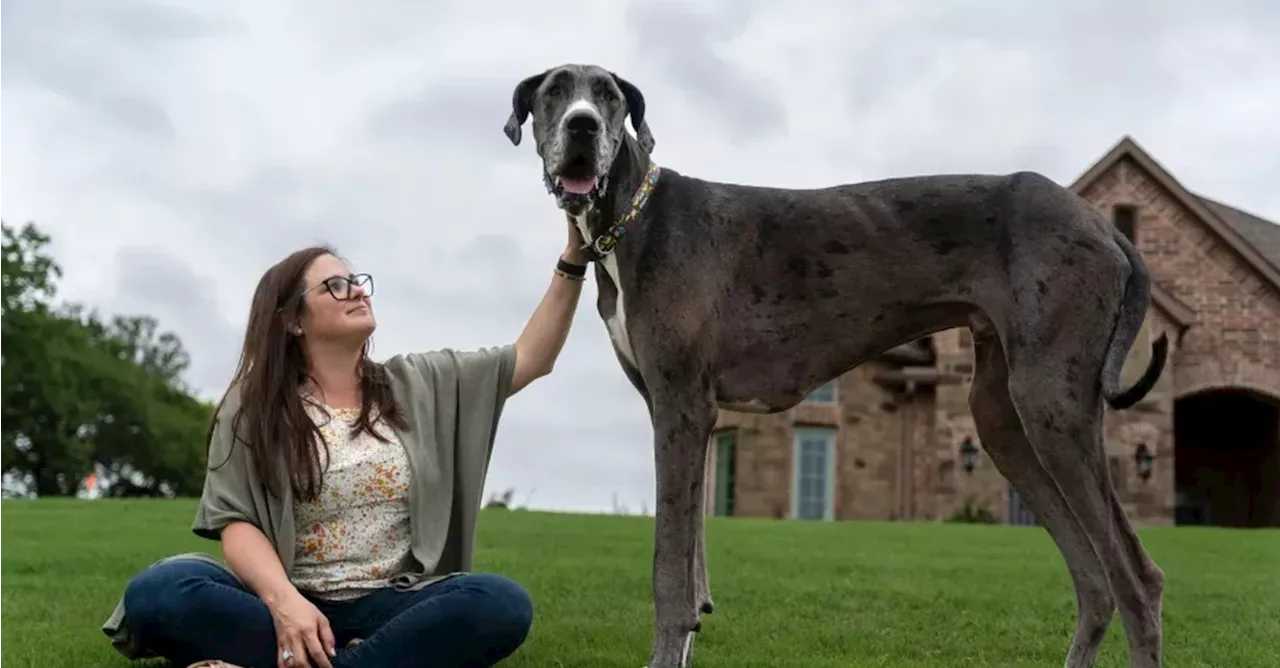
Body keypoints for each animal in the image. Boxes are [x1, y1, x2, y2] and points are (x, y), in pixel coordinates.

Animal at [499, 63, 1172, 665]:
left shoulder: (680, 408)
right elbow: (692, 565)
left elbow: (670, 572)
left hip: (1051, 406)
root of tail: (1106, 228)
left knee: (1137, 579)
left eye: (608, 95)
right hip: (1004, 421)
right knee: (1094, 581)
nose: (583, 126)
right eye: (555, 90)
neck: (632, 216)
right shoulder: (690, 417)